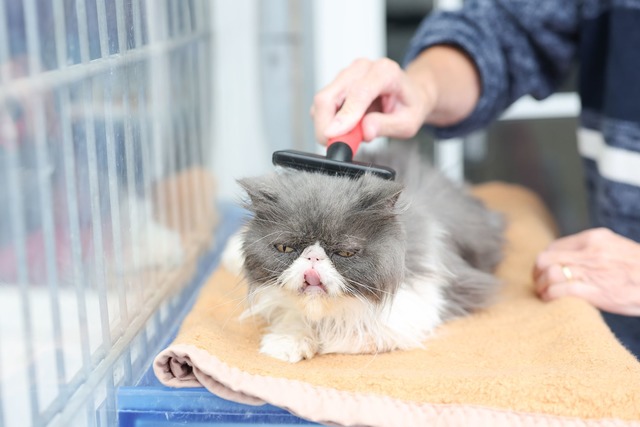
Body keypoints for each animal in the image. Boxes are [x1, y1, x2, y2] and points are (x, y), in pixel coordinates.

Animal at [225, 145, 504, 364]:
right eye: (285, 248)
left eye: (345, 252)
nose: (313, 257)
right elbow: (295, 316)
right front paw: (286, 344)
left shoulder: (418, 307)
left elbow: (351, 333)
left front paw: (321, 341)